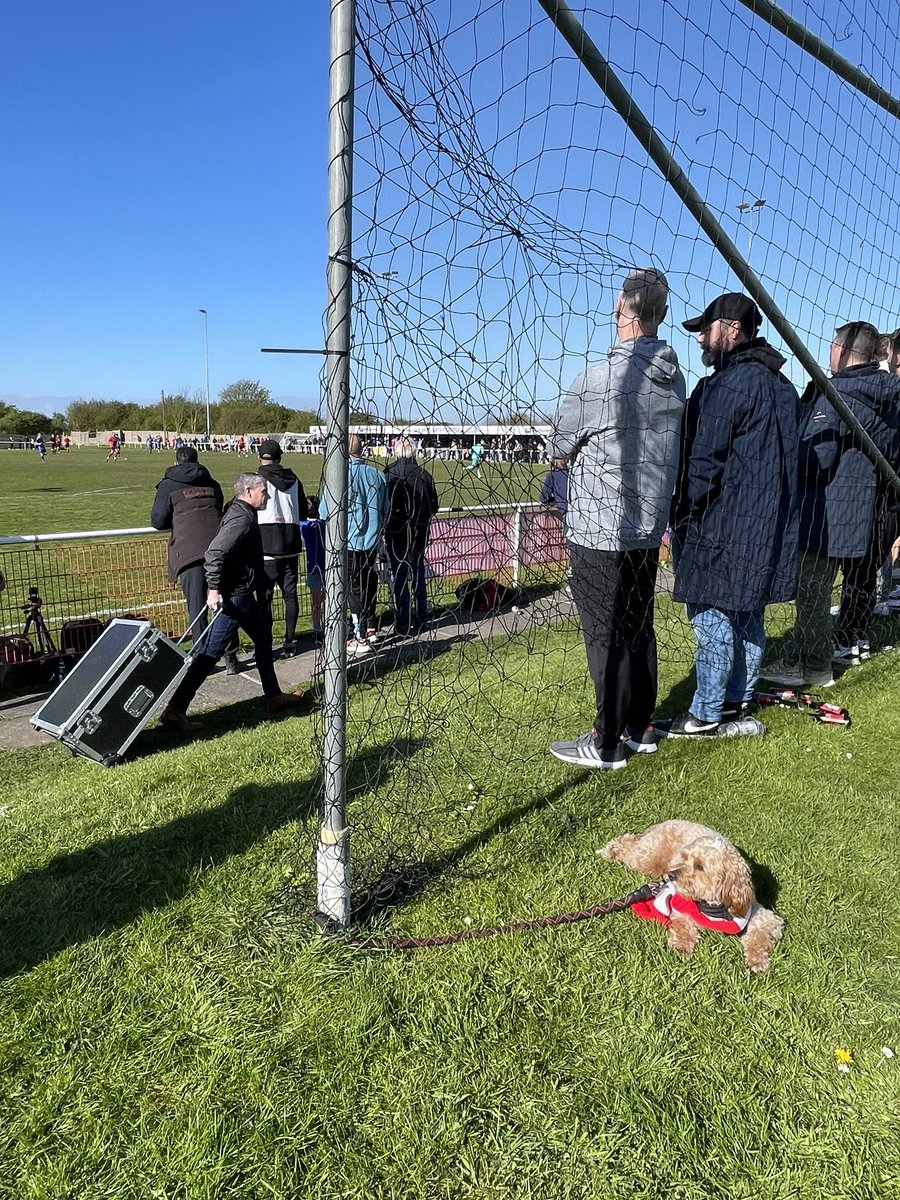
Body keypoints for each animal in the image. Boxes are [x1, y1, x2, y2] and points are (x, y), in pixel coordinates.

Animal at [602, 816, 787, 974]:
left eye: (700, 866)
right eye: (684, 857)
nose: (671, 875)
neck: (715, 906)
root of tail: (665, 822)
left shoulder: (766, 917)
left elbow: (758, 937)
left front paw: (757, 959)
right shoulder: (681, 905)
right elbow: (683, 926)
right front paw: (681, 945)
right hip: (646, 859)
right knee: (628, 844)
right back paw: (609, 850)